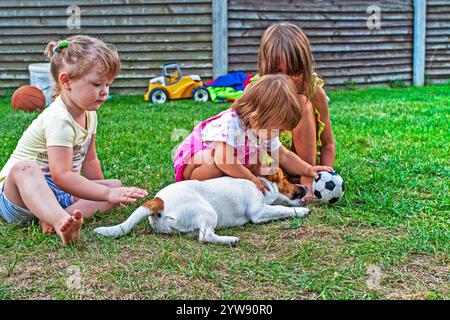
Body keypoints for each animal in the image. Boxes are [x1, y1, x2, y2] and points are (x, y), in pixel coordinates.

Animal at [93, 169, 308, 246]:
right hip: (208, 211)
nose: (305, 187)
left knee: (197, 234)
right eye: (290, 179)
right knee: (205, 236)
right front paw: (301, 211)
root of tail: (158, 200)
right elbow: (282, 209)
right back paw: (230, 240)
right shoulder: (258, 211)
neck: (263, 186)